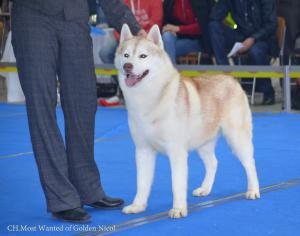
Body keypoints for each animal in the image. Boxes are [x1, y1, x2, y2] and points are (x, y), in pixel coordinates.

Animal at [115, 24, 260, 218]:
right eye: (126, 55)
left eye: (143, 56)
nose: (128, 66)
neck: (150, 100)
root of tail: (232, 80)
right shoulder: (143, 150)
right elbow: (142, 183)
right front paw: (138, 206)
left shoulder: (176, 152)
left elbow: (177, 184)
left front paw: (178, 209)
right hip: (203, 144)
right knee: (213, 163)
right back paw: (205, 189)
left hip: (237, 139)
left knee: (250, 164)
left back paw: (253, 191)